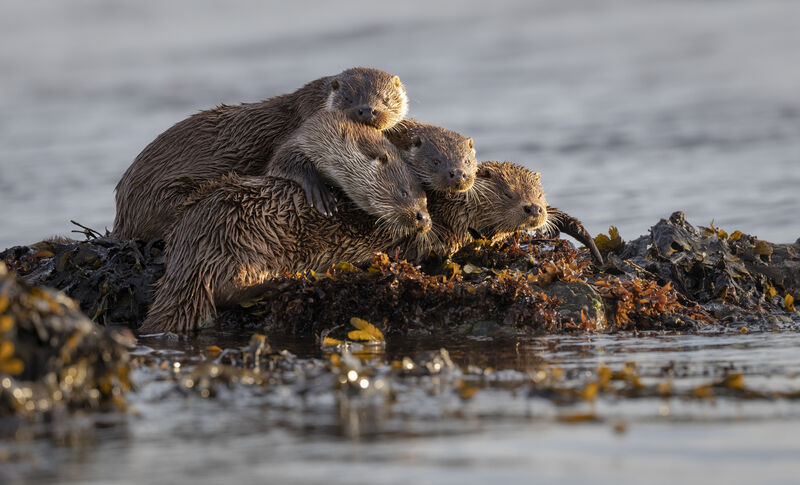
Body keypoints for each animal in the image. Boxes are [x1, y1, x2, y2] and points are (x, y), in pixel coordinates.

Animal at [114, 67, 408, 240]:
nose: (367, 110)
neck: (309, 106)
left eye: (385, 99)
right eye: (348, 98)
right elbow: (280, 163)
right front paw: (318, 191)